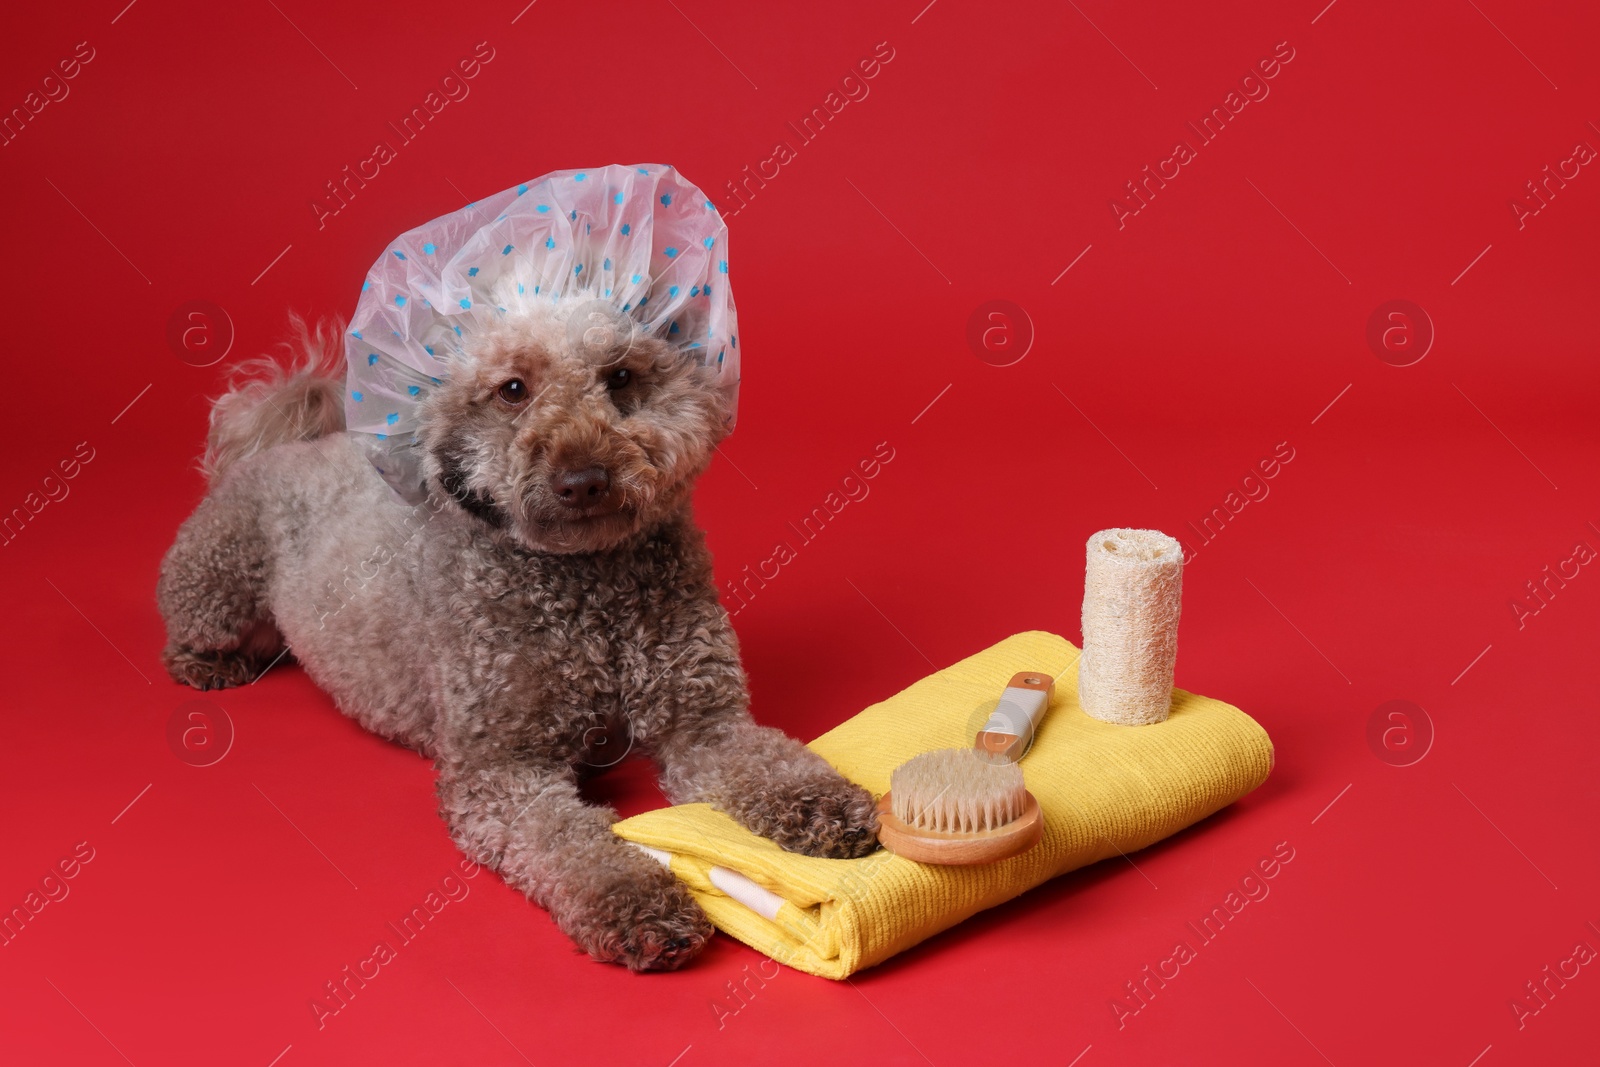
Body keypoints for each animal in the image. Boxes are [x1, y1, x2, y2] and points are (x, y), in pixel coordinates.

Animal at [157, 303, 883, 972]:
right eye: (512, 389)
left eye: (621, 376)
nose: (583, 479)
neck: (590, 590)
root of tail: (296, 442)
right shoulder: (502, 771)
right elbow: (568, 841)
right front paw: (636, 901)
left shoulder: (704, 722)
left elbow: (769, 763)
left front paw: (824, 805)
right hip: (216, 578)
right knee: (189, 624)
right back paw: (207, 665)